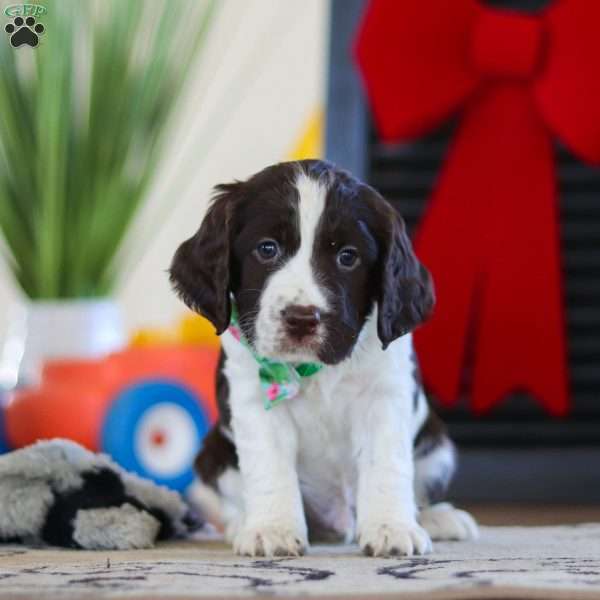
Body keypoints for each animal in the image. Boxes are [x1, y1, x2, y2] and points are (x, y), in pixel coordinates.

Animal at [170, 159, 478, 556]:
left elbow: (387, 463)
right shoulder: (255, 398)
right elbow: (269, 466)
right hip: (213, 455)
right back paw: (242, 525)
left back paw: (439, 519)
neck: (315, 369)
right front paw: (273, 529)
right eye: (267, 249)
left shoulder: (385, 396)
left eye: (348, 257)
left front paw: (391, 527)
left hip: (437, 447)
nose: (302, 317)